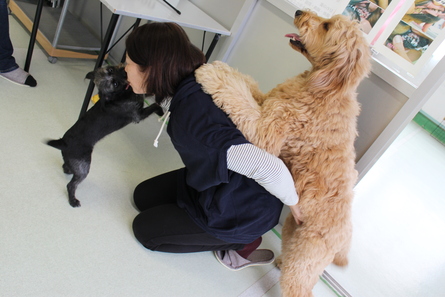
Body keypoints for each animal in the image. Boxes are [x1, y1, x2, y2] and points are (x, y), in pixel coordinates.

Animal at [47, 65, 161, 207]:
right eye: (115, 84)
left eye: (111, 70)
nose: (124, 71)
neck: (118, 95)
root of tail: (63, 142)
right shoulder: (138, 115)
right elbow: (153, 105)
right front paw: (160, 109)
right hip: (84, 168)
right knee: (71, 185)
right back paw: (73, 200)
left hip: (75, 164)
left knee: (66, 167)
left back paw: (67, 170)